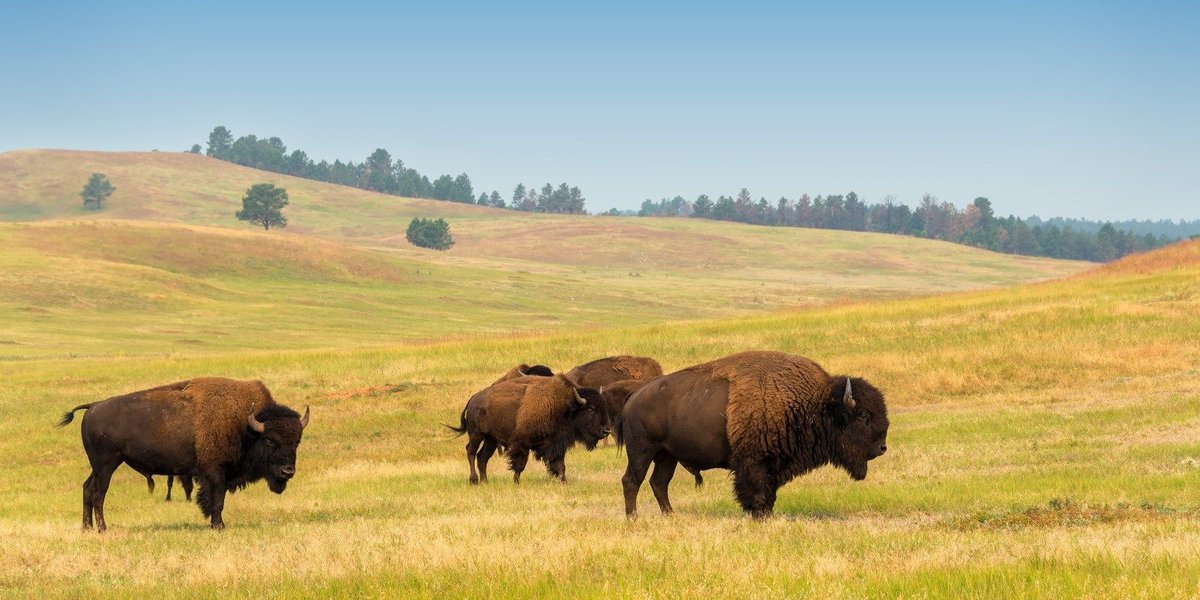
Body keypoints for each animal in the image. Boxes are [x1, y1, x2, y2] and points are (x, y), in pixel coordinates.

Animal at [57, 377, 309, 531]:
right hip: (106, 465)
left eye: (297, 441)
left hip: (99, 466)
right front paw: (219, 526)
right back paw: (102, 528)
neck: (246, 425)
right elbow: (217, 501)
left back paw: (86, 528)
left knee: (87, 489)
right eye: (270, 440)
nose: (287, 471)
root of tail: (93, 406)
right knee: (98, 493)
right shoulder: (215, 473)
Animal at [447, 374, 611, 484]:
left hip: (491, 439)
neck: (565, 406)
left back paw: (485, 481)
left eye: (604, 406)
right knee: (471, 452)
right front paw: (516, 482)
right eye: (590, 409)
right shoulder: (522, 444)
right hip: (477, 434)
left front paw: (564, 481)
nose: (606, 430)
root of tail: (473, 399)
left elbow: (560, 465)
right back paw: (474, 480)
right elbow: (520, 465)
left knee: (482, 457)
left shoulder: (556, 445)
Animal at [617, 351, 888, 518]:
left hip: (667, 455)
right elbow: (757, 492)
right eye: (863, 416)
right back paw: (633, 518)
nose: (882, 447)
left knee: (659, 483)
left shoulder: (773, 465)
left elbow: (769, 493)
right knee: (632, 480)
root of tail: (633, 398)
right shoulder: (753, 462)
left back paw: (671, 516)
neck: (814, 402)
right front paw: (758, 515)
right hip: (642, 451)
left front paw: (766, 514)